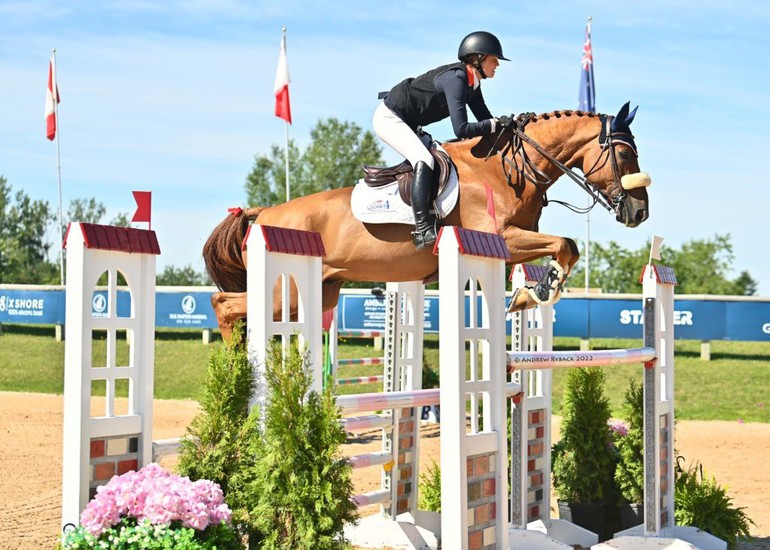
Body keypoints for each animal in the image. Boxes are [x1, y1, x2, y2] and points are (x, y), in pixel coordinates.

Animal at [201, 101, 644, 338]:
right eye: (624, 155)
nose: (640, 212)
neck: (506, 170)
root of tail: (263, 213)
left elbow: (565, 248)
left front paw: (527, 294)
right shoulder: (502, 237)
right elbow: (566, 244)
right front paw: (535, 293)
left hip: (315, 292)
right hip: (283, 289)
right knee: (223, 303)